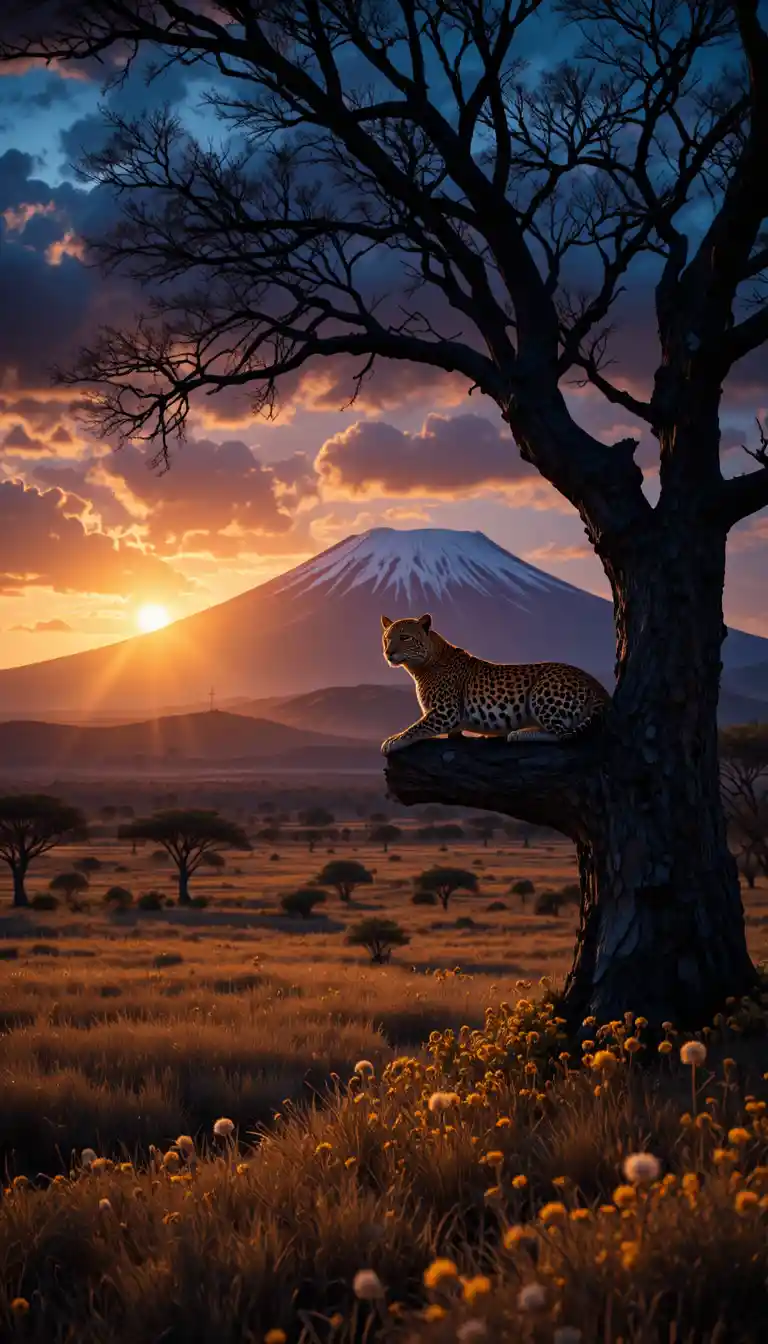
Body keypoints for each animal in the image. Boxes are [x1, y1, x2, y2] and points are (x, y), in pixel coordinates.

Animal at [380, 613, 611, 754]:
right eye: (386, 638)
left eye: (405, 637)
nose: (388, 653)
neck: (421, 666)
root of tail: (596, 684)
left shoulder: (446, 713)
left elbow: (416, 727)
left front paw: (393, 740)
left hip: (542, 691)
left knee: (564, 735)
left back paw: (520, 734)